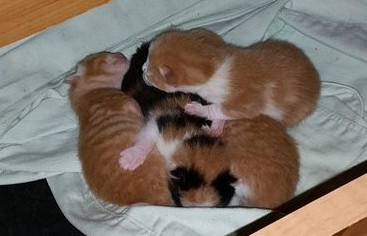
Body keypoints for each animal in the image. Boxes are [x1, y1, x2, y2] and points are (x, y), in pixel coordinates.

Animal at [142, 27, 320, 136]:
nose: (142, 69)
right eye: (147, 60)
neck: (214, 67)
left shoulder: (247, 103)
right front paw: (216, 126)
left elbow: (219, 109)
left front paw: (199, 110)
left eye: (150, 72)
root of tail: (316, 80)